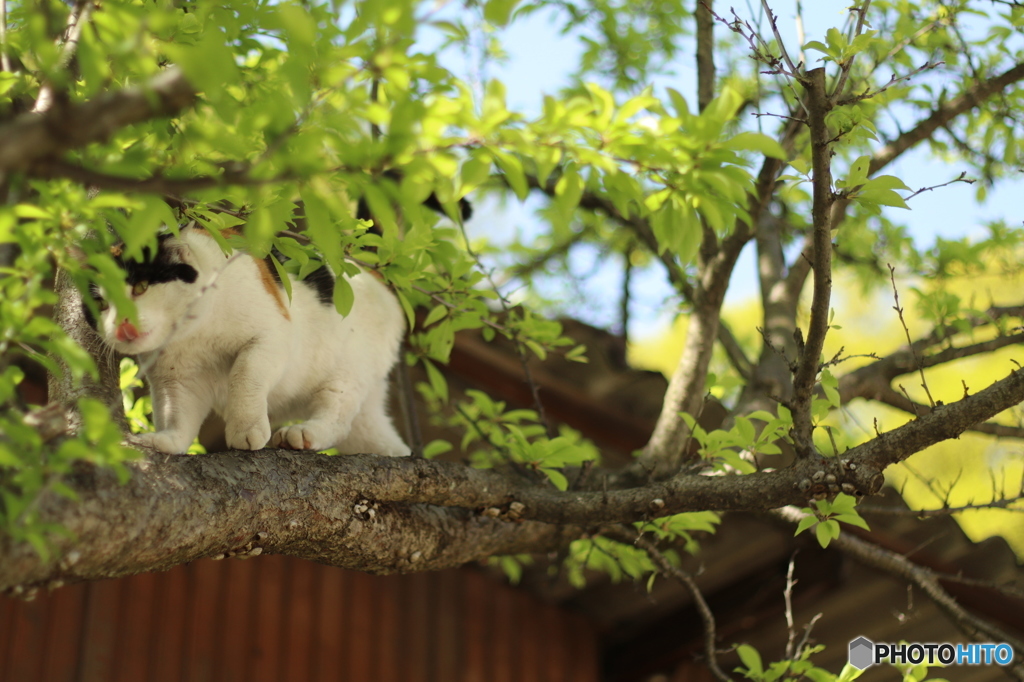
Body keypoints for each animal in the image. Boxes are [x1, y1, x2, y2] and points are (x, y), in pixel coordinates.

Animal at [83, 224, 409, 456]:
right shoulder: (175, 380)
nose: (122, 326)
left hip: (346, 373)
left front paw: (246, 429)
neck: (196, 335)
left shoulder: (271, 337)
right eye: (101, 305)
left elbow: (244, 375)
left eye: (140, 287)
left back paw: (304, 434)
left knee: (338, 417)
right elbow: (176, 415)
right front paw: (165, 441)